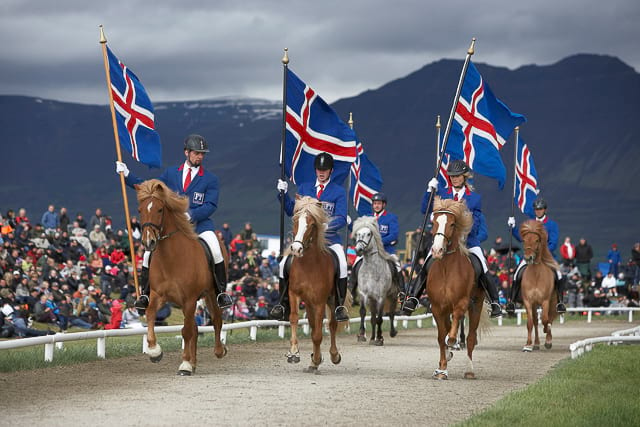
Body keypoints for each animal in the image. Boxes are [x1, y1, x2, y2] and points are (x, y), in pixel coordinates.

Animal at [135, 179, 228, 376]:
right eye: (140, 210)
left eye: (160, 210)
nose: (148, 242)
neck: (171, 258)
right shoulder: (158, 295)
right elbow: (150, 315)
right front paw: (155, 352)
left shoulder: (190, 299)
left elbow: (186, 331)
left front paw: (184, 364)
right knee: (195, 327)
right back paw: (193, 363)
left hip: (211, 294)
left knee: (216, 320)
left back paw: (218, 351)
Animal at [284, 196, 344, 372]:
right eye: (295, 220)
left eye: (311, 224)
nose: (296, 249)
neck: (308, 265)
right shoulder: (294, 294)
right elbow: (294, 318)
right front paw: (294, 352)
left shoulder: (320, 301)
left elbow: (318, 334)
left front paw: (317, 359)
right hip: (309, 303)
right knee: (312, 325)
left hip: (331, 300)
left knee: (332, 325)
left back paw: (333, 356)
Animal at [350, 216, 400, 346]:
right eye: (357, 233)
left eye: (368, 234)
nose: (358, 250)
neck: (372, 269)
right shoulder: (364, 295)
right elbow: (364, 313)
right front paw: (362, 335)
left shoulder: (381, 297)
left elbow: (380, 318)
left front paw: (379, 338)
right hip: (372, 300)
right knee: (373, 317)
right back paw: (372, 337)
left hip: (392, 296)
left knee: (391, 314)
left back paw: (390, 333)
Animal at [428, 199, 492, 380]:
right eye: (433, 222)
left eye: (452, 224)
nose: (437, 250)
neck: (446, 269)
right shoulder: (437, 308)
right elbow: (441, 337)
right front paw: (442, 369)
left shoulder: (462, 303)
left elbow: (453, 329)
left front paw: (452, 343)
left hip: (476, 305)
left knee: (470, 337)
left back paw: (469, 370)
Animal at [516, 219, 556, 352]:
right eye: (524, 240)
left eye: (537, 240)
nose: (528, 258)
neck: (536, 276)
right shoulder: (528, 302)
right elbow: (530, 323)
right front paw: (528, 345)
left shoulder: (545, 301)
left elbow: (545, 319)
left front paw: (547, 335)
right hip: (534, 305)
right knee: (534, 320)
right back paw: (537, 343)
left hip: (553, 301)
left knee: (550, 317)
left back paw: (548, 340)